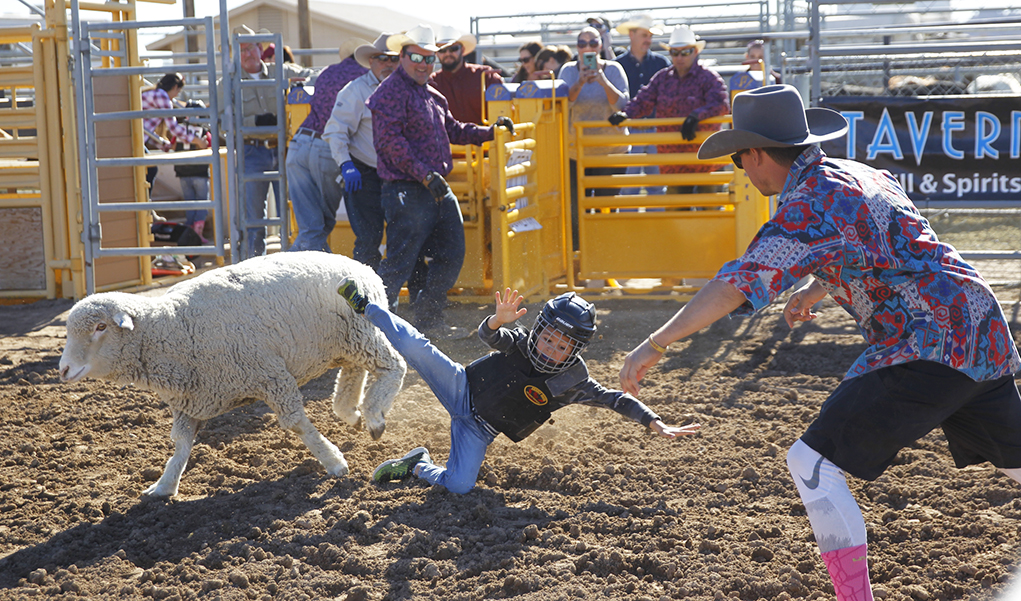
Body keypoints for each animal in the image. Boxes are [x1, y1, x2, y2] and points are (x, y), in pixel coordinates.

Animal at [57, 251, 404, 493]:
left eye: (101, 327)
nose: (63, 370)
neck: (173, 326)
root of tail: (364, 266)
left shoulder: (271, 374)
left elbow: (297, 425)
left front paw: (333, 462)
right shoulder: (191, 400)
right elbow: (181, 444)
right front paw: (165, 485)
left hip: (362, 331)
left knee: (394, 367)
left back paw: (373, 415)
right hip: (345, 342)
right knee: (353, 373)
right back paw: (352, 411)